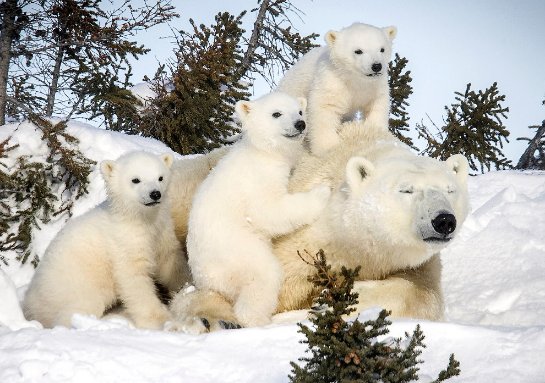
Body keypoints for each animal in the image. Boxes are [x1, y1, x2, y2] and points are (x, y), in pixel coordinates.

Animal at [24, 152, 192, 332]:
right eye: (135, 180)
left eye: (160, 177)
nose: (155, 194)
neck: (137, 219)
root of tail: (29, 303)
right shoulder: (123, 243)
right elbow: (134, 279)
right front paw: (161, 320)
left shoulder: (161, 232)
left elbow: (170, 260)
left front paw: (188, 286)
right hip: (73, 286)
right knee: (79, 307)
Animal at [170, 121, 468, 328]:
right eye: (406, 190)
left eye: (450, 190)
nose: (444, 221)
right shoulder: (303, 241)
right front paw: (214, 317)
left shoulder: (414, 263)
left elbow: (424, 294)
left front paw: (331, 301)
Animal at [185, 91, 330, 328]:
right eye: (276, 113)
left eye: (300, 111)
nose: (300, 124)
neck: (263, 152)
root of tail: (205, 281)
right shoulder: (257, 180)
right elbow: (268, 211)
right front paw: (322, 192)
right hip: (239, 252)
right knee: (264, 277)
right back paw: (261, 320)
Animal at [276, 22, 396, 156]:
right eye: (358, 51)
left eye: (382, 49)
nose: (376, 66)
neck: (354, 80)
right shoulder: (332, 82)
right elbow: (325, 108)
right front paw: (327, 147)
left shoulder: (374, 86)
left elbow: (377, 105)